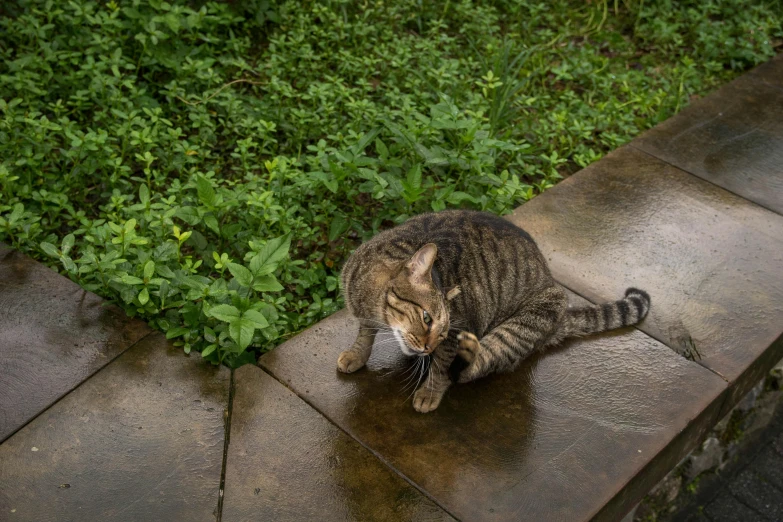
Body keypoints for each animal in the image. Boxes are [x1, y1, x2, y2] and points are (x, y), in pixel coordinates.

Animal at [336, 208, 648, 410]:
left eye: (442, 331)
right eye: (426, 318)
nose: (428, 347)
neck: (371, 302)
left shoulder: (460, 328)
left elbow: (441, 367)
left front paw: (430, 391)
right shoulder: (364, 313)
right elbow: (364, 334)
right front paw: (356, 354)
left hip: (525, 321)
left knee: (476, 365)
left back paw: (468, 355)